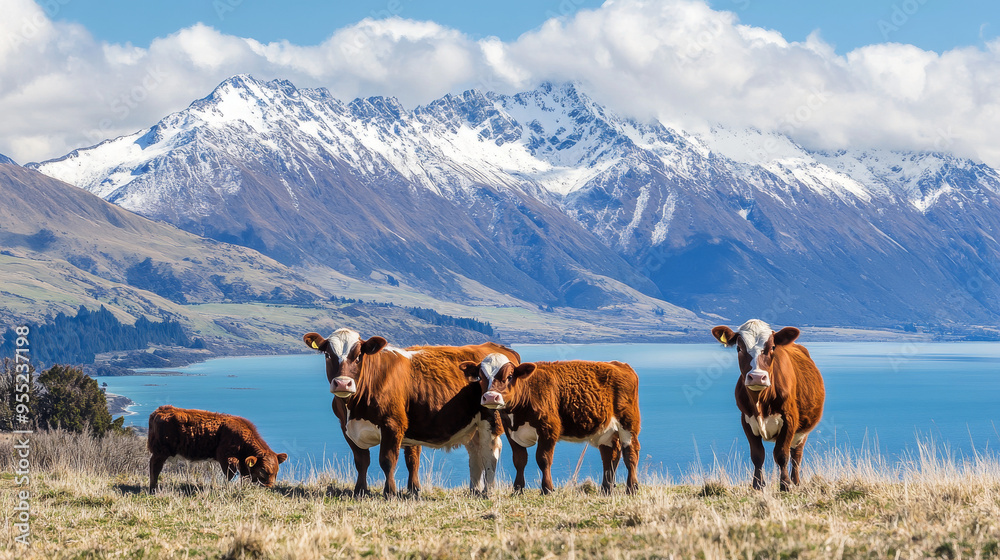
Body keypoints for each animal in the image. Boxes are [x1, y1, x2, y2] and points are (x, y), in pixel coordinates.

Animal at [147, 405, 288, 492]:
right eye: (263, 470)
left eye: (276, 471)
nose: (270, 487)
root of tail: (160, 410)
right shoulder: (226, 457)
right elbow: (229, 475)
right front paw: (226, 488)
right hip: (160, 451)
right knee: (155, 467)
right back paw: (153, 488)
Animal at [303, 329, 521, 498]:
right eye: (328, 355)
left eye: (358, 356)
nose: (342, 383)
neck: (353, 408)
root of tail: (496, 347)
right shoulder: (347, 428)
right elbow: (363, 461)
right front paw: (361, 491)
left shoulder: (393, 425)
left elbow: (387, 460)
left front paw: (390, 492)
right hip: (472, 424)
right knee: (475, 452)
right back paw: (474, 489)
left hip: (491, 418)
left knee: (490, 453)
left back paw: (487, 491)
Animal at [459, 354, 641, 495]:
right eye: (480, 377)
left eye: (509, 376)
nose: (490, 397)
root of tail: (619, 364)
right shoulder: (511, 432)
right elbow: (519, 460)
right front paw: (517, 489)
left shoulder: (548, 429)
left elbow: (543, 459)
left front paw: (547, 489)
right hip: (604, 430)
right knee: (610, 455)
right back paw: (606, 489)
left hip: (629, 423)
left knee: (630, 453)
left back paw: (631, 488)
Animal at [712, 319, 825, 491]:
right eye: (739, 348)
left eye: (772, 347)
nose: (757, 377)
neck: (760, 402)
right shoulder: (746, 420)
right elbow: (757, 455)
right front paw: (758, 485)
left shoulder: (789, 419)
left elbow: (782, 454)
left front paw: (785, 485)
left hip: (803, 431)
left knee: (796, 455)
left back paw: (796, 482)